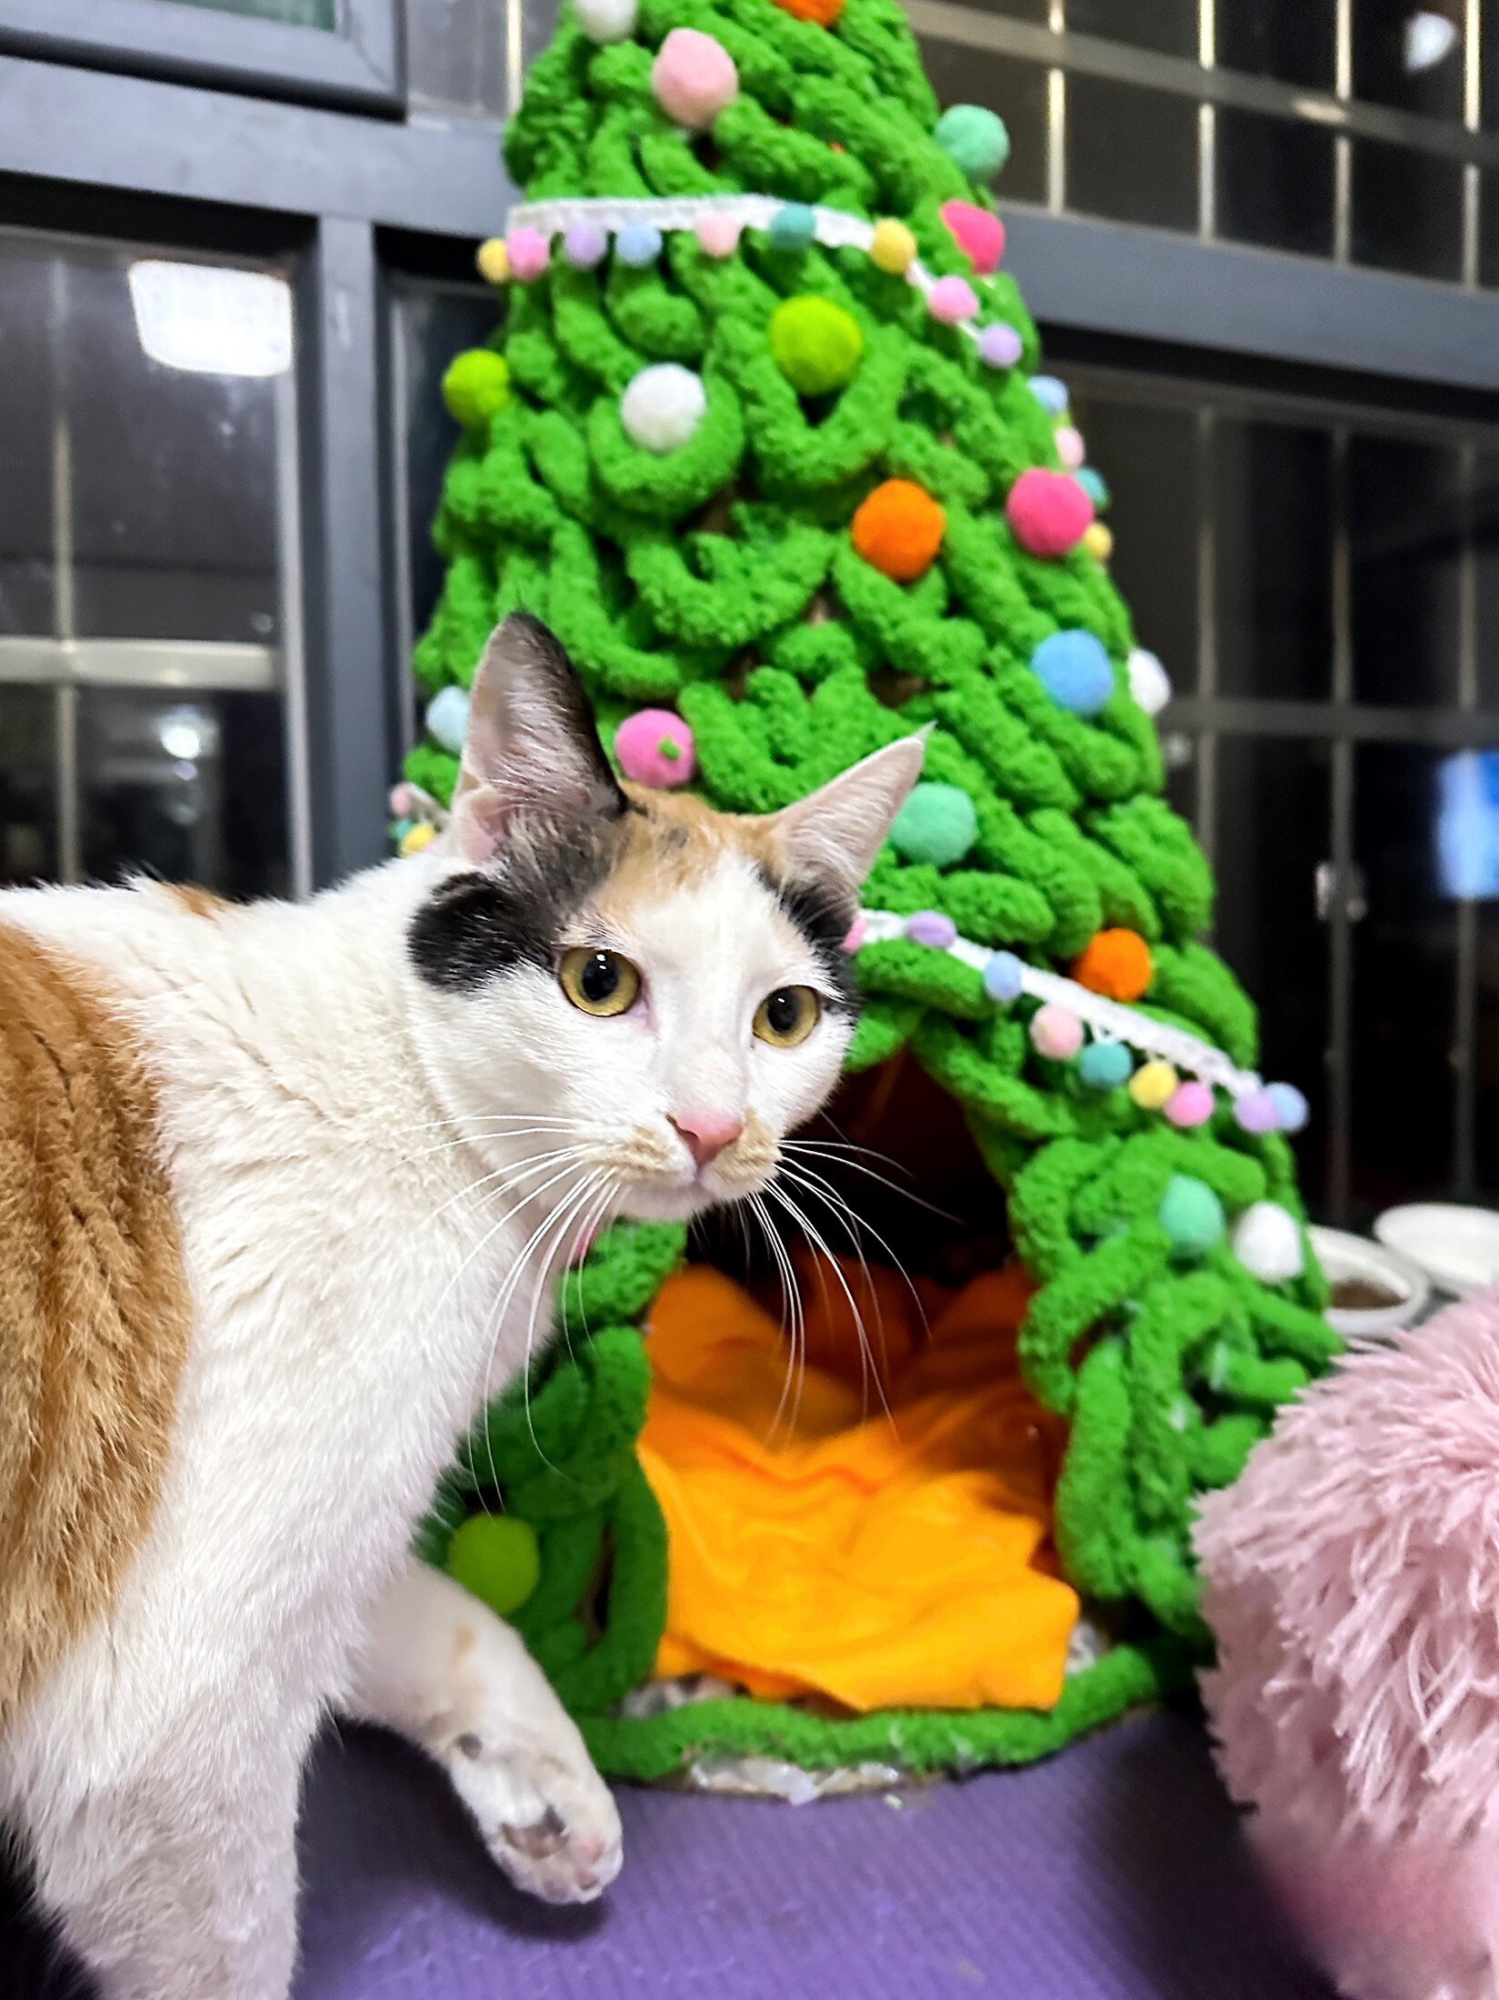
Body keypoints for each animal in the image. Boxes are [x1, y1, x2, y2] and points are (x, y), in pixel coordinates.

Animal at [0, 616, 927, 2000]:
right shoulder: (167, 1716)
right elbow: (228, 1931)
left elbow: (435, 1612)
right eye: (598, 982)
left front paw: (542, 1775)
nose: (714, 1126)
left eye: (784, 1015)